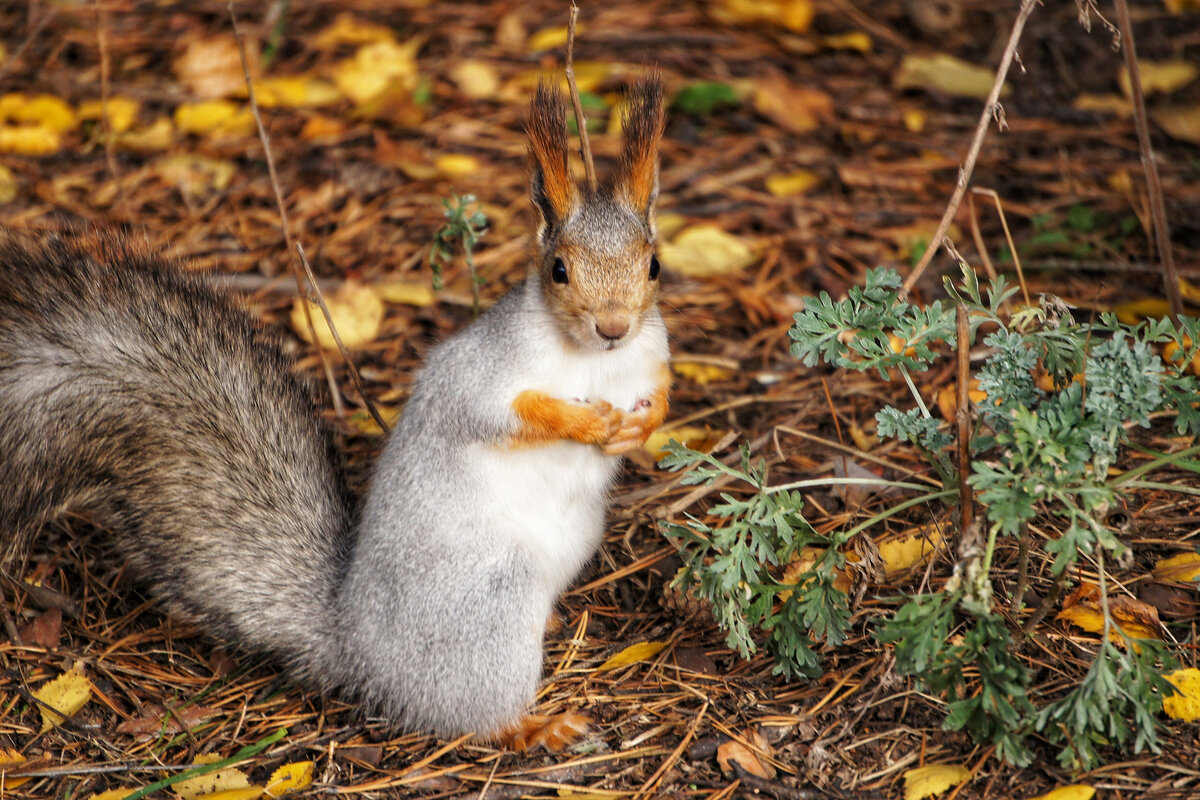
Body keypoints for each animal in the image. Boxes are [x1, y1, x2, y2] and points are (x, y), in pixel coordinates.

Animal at [0, 77, 667, 753]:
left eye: (654, 265)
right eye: (559, 270)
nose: (613, 327)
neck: (593, 362)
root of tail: (356, 644)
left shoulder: (651, 357)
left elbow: (660, 396)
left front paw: (641, 426)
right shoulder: (480, 374)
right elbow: (498, 414)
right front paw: (585, 424)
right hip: (490, 606)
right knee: (472, 714)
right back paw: (535, 724)